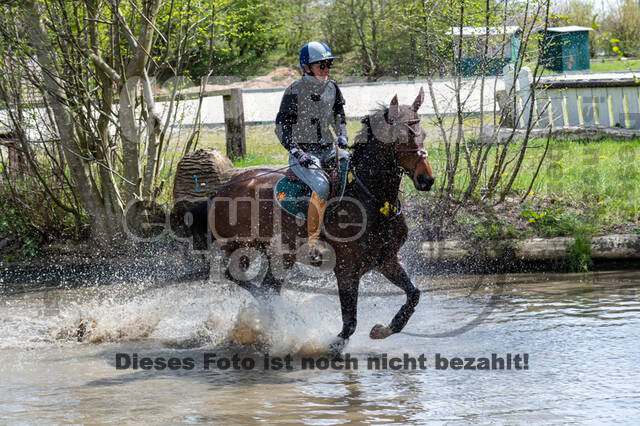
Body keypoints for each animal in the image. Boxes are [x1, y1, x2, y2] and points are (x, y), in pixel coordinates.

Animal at [190, 87, 436, 352]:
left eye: (423, 134)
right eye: (401, 137)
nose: (426, 180)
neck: (372, 200)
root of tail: (220, 191)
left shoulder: (386, 260)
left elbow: (414, 294)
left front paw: (383, 329)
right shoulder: (346, 269)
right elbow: (349, 323)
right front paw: (332, 345)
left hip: (281, 255)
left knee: (268, 287)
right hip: (242, 248)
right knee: (237, 277)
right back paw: (288, 318)